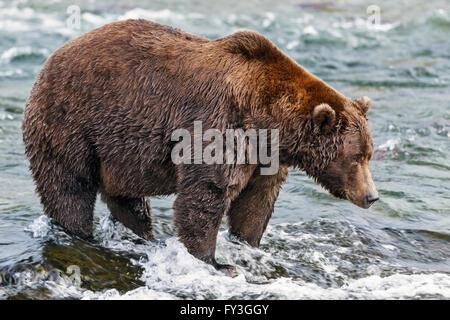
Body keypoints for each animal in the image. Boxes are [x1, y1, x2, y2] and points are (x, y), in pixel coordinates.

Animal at [22, 19, 378, 276]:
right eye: (356, 158)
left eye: (369, 155)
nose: (372, 196)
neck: (266, 120)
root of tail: (49, 61)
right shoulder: (220, 126)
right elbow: (205, 194)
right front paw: (216, 262)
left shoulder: (265, 157)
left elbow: (256, 202)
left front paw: (249, 248)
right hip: (72, 121)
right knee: (69, 187)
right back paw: (79, 234)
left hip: (120, 150)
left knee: (128, 198)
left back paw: (144, 236)